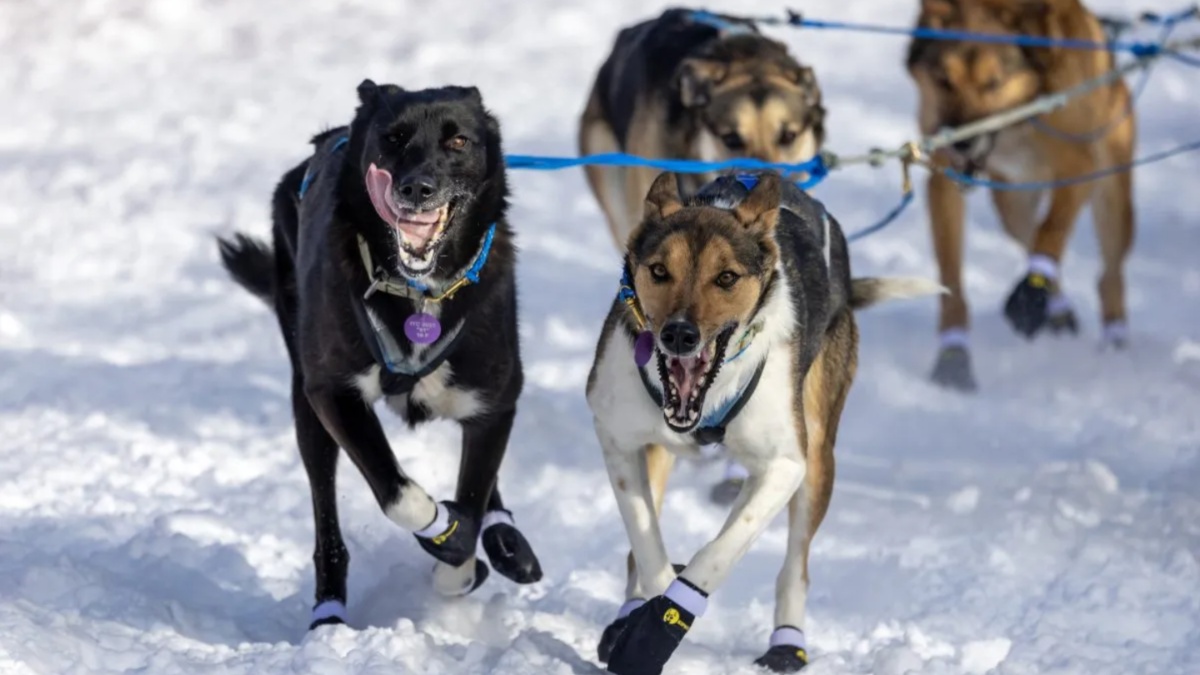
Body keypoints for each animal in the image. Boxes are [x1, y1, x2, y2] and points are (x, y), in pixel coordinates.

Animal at [219, 81, 544, 629]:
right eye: (393, 138)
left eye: (458, 142)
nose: (417, 188)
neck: (420, 295)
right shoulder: (333, 394)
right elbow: (400, 495)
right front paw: (445, 534)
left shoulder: (496, 403)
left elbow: (474, 496)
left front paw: (462, 558)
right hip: (307, 411)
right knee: (327, 522)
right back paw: (328, 614)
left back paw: (505, 539)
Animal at [585, 169, 940, 672]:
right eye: (658, 271)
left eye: (726, 277)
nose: (679, 335)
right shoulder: (617, 436)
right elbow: (646, 543)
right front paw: (646, 612)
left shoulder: (784, 466)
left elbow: (717, 554)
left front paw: (661, 622)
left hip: (818, 457)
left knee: (796, 567)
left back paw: (786, 644)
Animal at [907, 0, 1132, 389]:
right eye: (944, 80)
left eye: (994, 82)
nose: (962, 141)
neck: (1016, 122)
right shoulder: (944, 178)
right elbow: (951, 277)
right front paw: (954, 354)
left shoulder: (1080, 165)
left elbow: (1052, 231)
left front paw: (1032, 294)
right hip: (1011, 202)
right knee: (1026, 233)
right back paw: (1058, 312)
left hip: (1111, 194)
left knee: (1109, 273)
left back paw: (1114, 338)